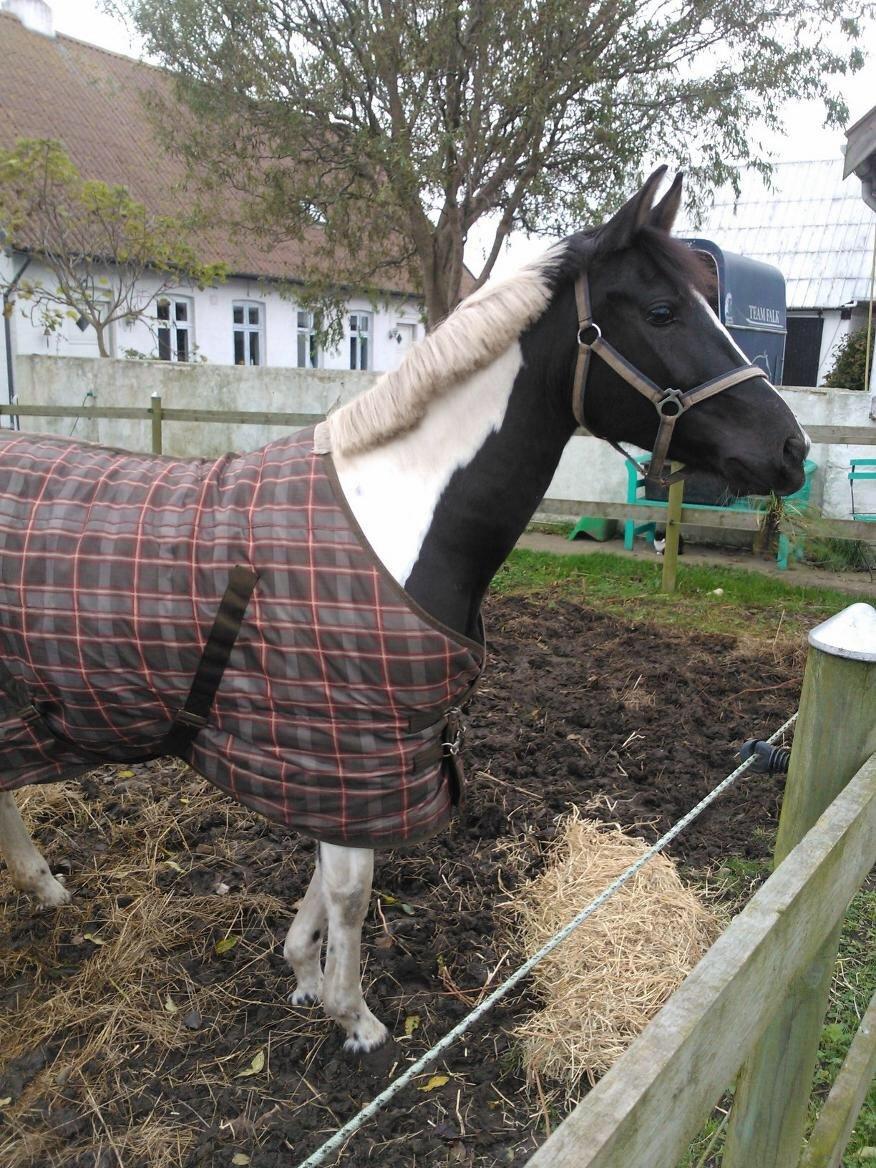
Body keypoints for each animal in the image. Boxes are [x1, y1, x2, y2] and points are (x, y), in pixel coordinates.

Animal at [0, 169, 808, 1055]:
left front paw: (306, 974)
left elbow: (327, 878)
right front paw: (354, 1017)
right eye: (663, 311)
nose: (791, 450)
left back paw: (47, 889)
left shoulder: (343, 763)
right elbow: (351, 888)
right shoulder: (347, 745)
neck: (399, 517)